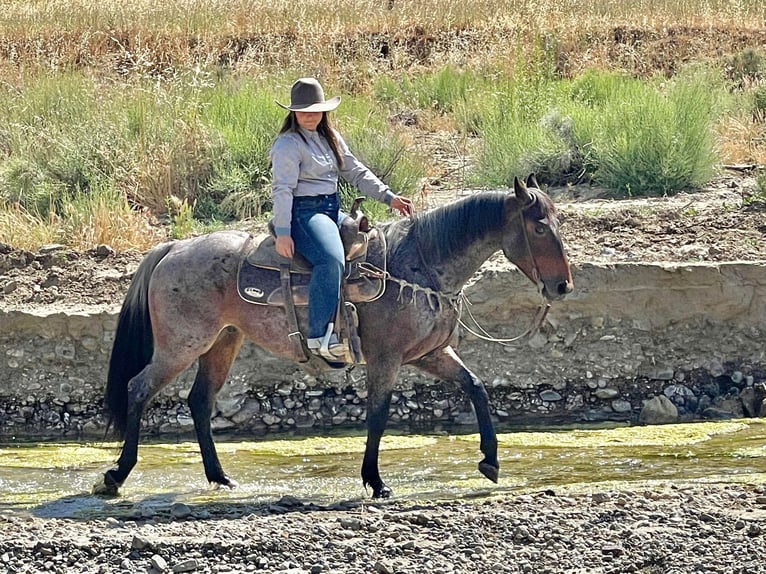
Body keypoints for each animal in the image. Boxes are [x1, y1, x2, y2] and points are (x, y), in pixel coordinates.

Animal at [94, 174, 568, 500]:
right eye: (539, 228)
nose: (562, 286)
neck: (417, 266)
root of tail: (172, 248)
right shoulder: (387, 359)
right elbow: (378, 415)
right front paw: (375, 482)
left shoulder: (430, 354)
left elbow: (476, 387)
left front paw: (490, 461)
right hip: (180, 345)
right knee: (139, 389)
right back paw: (116, 475)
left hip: (223, 342)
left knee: (199, 401)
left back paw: (220, 477)